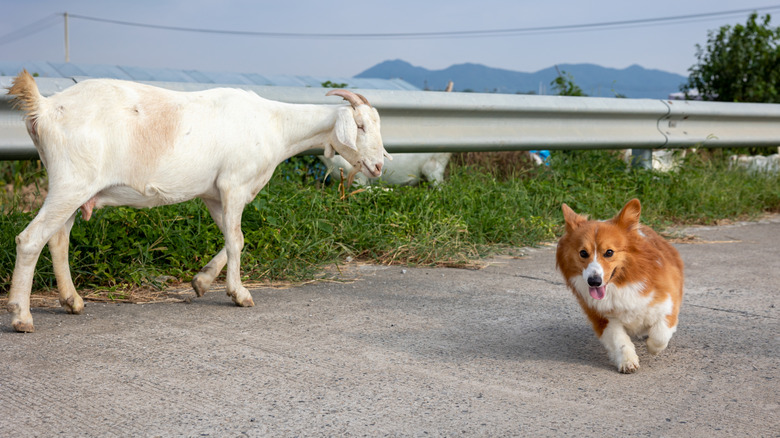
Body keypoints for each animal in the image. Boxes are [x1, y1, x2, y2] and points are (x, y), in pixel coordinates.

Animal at [6, 70, 389, 332]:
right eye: (360, 126)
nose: (380, 165)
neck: (277, 125)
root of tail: (45, 108)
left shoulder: (215, 194)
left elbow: (232, 239)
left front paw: (202, 281)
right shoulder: (234, 183)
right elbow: (237, 240)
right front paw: (239, 294)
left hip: (75, 188)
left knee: (58, 239)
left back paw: (72, 301)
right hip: (71, 182)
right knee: (30, 239)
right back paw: (22, 316)